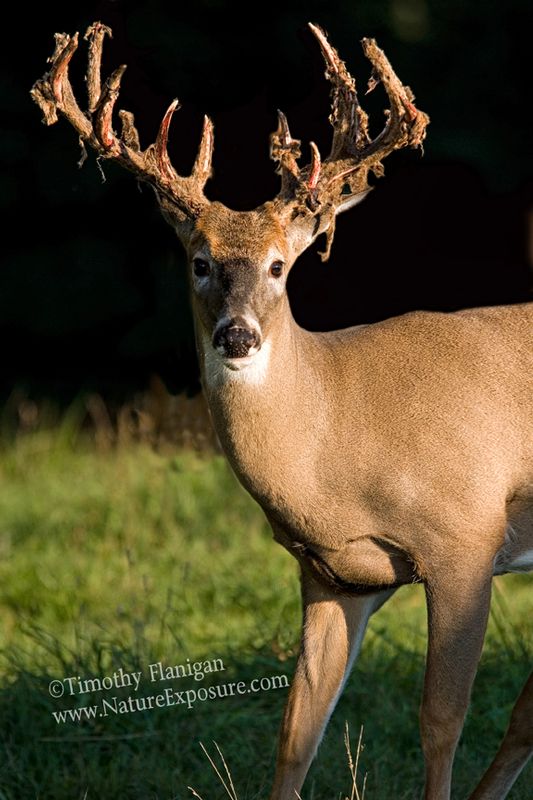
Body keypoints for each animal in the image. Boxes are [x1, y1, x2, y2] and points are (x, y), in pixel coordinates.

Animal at [32, 21, 533, 800]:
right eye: (200, 262)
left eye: (278, 265)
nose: (236, 335)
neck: (338, 435)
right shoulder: (331, 575)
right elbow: (296, 733)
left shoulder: (465, 538)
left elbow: (440, 722)